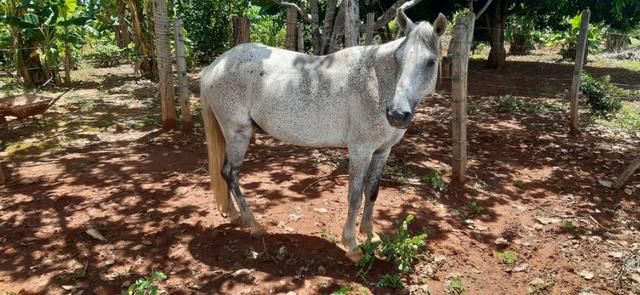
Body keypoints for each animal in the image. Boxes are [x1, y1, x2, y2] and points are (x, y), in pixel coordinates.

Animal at [202, 9, 448, 262]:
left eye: (431, 61)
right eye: (399, 58)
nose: (397, 114)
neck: (375, 83)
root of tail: (216, 65)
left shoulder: (382, 151)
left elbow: (372, 192)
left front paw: (370, 235)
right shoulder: (360, 151)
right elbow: (355, 195)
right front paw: (352, 245)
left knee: (225, 173)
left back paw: (234, 215)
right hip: (237, 133)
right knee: (231, 174)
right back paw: (254, 224)